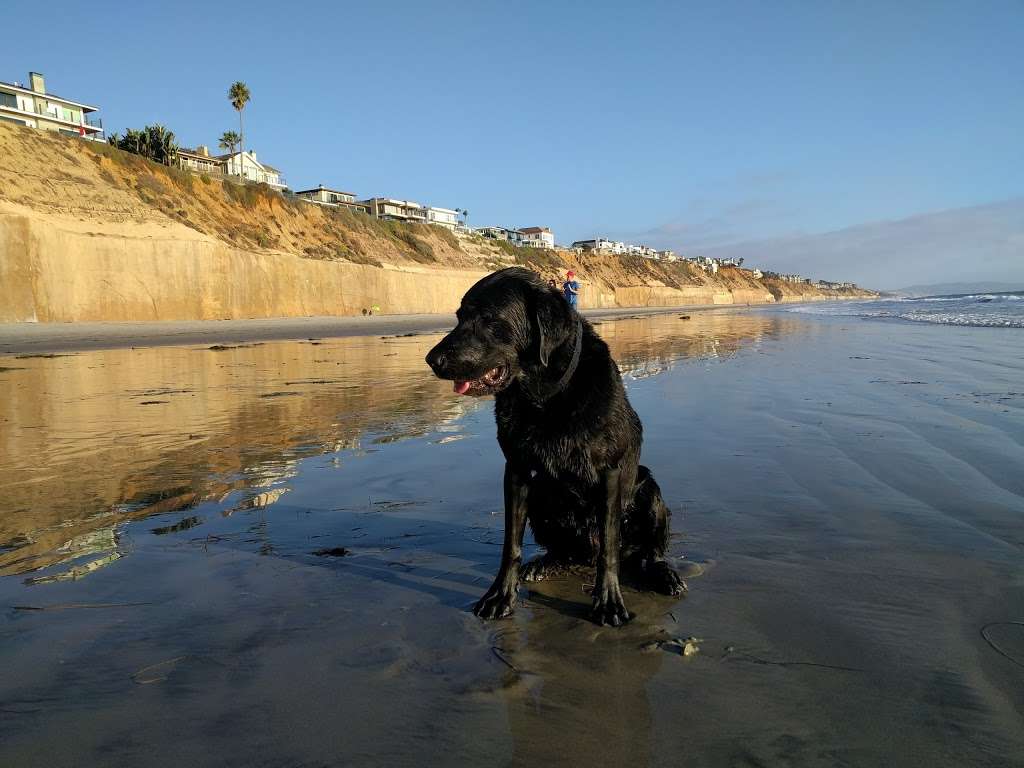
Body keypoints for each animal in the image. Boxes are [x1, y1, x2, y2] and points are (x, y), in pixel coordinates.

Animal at [421, 268, 679, 626]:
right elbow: (510, 544)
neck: (544, 396)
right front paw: (500, 596)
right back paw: (543, 564)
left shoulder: (610, 474)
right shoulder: (516, 471)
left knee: (644, 553)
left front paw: (608, 602)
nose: (432, 360)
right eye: (459, 317)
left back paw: (664, 575)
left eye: (489, 318)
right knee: (564, 551)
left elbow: (609, 547)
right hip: (543, 499)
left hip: (648, 488)